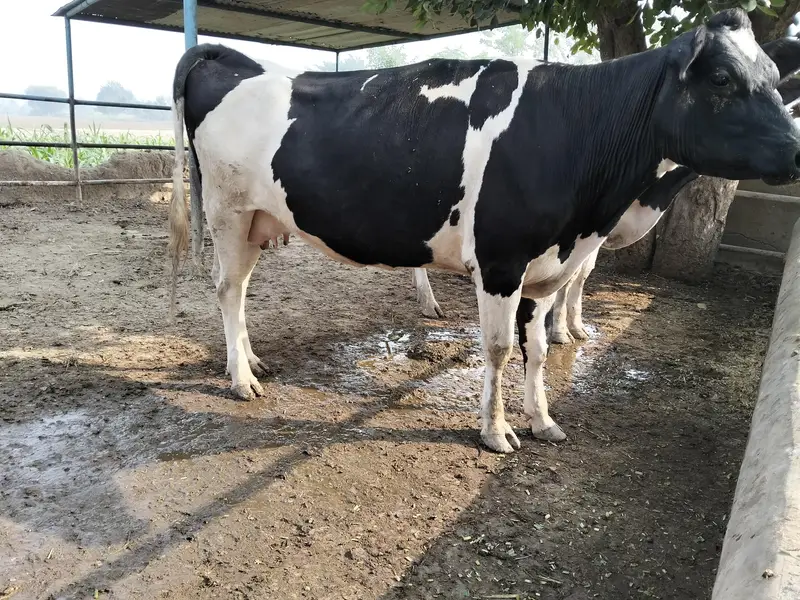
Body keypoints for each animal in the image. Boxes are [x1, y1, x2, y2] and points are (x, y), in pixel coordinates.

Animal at [169, 8, 800, 454]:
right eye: (722, 78)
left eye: (774, 77)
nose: (796, 150)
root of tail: (237, 61)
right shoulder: (501, 260)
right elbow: (497, 348)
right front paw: (496, 432)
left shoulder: (549, 264)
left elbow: (538, 349)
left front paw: (543, 419)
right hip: (228, 212)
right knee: (227, 290)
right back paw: (240, 380)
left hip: (258, 221)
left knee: (241, 291)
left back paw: (252, 362)